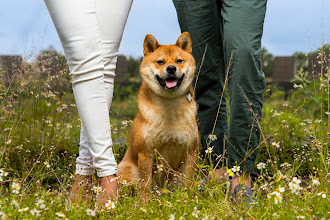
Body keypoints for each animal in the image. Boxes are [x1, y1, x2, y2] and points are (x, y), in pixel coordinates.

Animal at [117, 33, 197, 201]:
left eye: (179, 60)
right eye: (160, 61)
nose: (171, 68)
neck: (170, 107)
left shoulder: (190, 152)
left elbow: (188, 181)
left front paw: (188, 199)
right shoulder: (146, 153)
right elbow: (145, 185)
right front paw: (145, 203)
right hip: (129, 170)